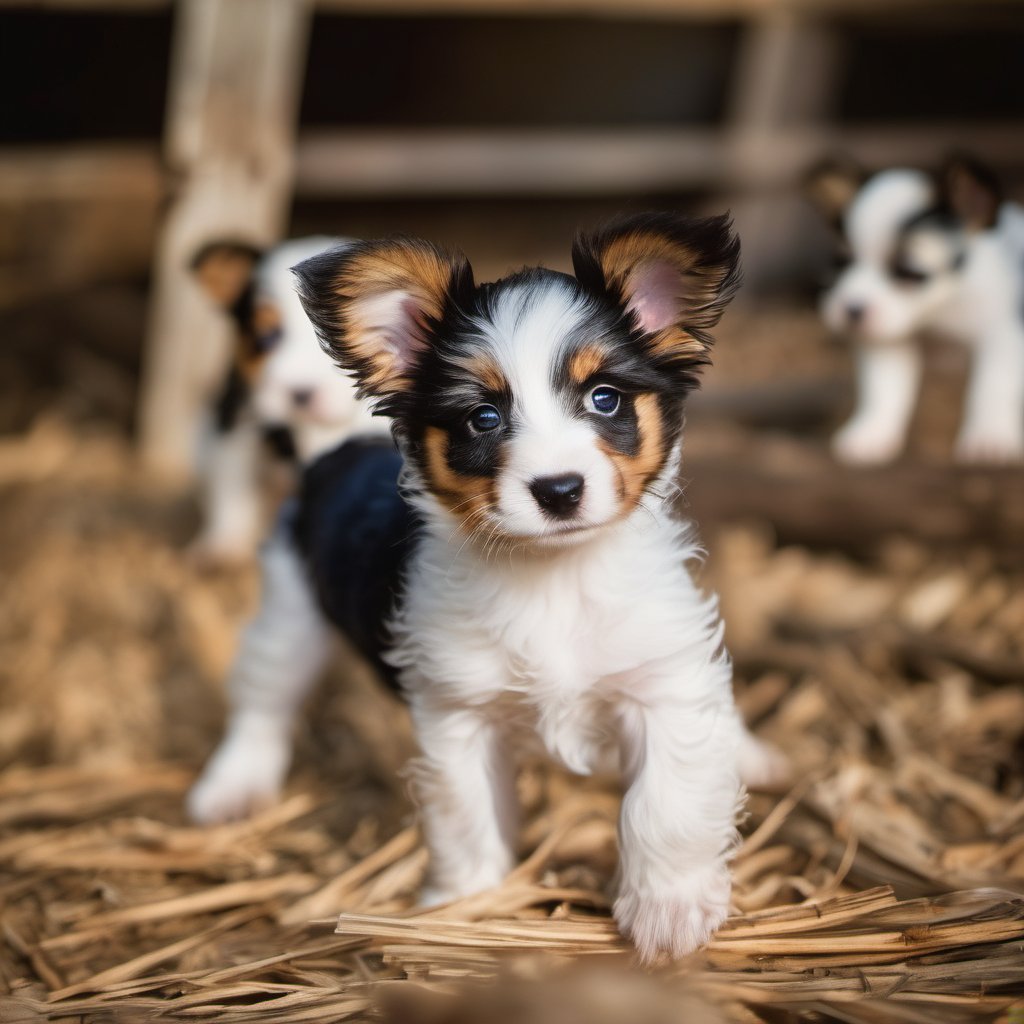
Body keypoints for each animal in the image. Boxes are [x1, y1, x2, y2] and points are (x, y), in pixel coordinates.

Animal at [806, 152, 1024, 464]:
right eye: (841, 263)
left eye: (909, 272)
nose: (852, 310)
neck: (938, 310)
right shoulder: (887, 343)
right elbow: (883, 389)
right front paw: (873, 433)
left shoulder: (1002, 334)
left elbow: (992, 386)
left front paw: (989, 437)